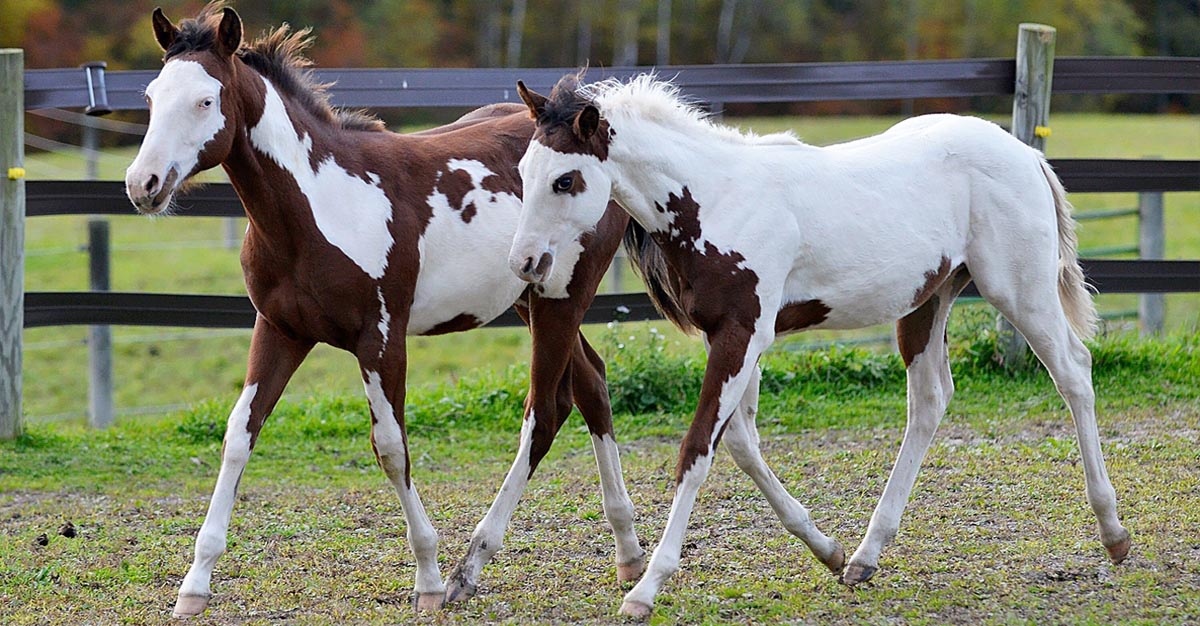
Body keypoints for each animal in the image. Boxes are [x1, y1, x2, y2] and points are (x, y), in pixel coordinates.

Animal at [125, 4, 643, 614]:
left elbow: (391, 449)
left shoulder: (380, 338)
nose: (142, 184)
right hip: (531, 300)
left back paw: (472, 567)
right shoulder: (279, 330)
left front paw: (429, 580)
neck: (319, 205)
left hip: (563, 298)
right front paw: (194, 585)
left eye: (205, 101)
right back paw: (629, 552)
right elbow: (238, 436)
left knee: (546, 411)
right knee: (592, 384)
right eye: (152, 96)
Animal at [511, 73, 1128, 614]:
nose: (525, 263)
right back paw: (864, 557)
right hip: (927, 302)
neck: (716, 199)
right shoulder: (737, 337)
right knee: (930, 401)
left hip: (1018, 290)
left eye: (565, 179)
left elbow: (697, 449)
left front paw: (646, 589)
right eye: (522, 169)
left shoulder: (742, 334)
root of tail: (1025, 154)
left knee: (1074, 372)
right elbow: (741, 444)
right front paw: (825, 549)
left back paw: (1114, 532)